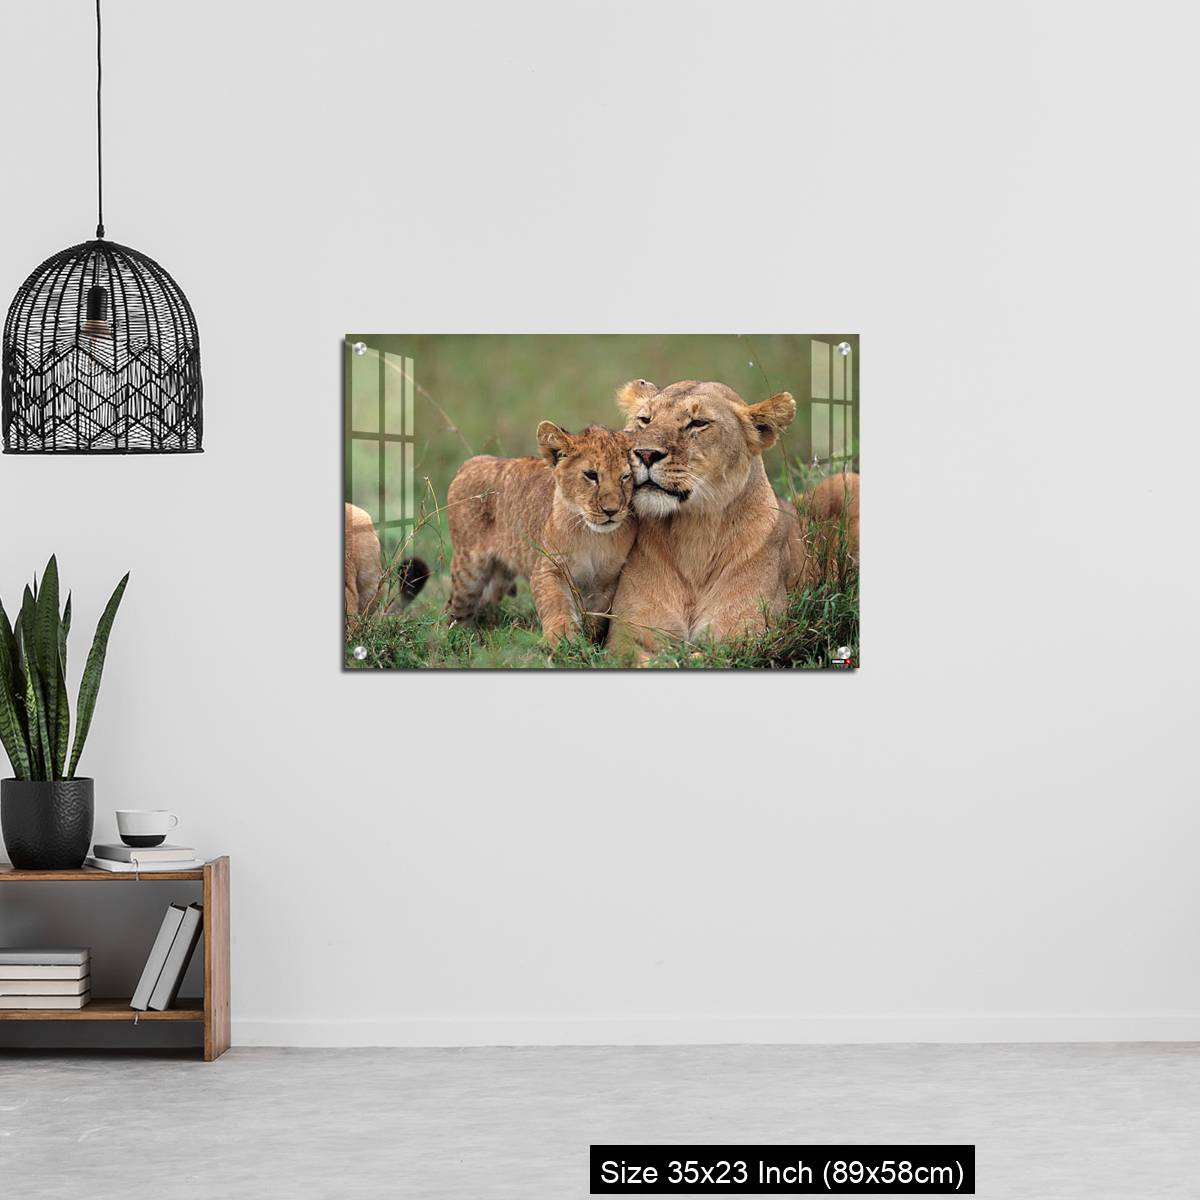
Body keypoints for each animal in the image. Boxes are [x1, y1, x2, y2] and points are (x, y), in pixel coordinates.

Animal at [446, 424, 637, 642]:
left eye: (625, 477)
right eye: (591, 475)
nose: (611, 511)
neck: (593, 536)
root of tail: (471, 462)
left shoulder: (607, 581)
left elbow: (595, 617)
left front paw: (587, 640)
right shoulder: (549, 567)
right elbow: (556, 603)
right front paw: (561, 637)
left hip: (500, 577)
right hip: (468, 571)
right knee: (455, 608)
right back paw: (455, 635)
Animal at [606, 379, 860, 658]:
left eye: (698, 423)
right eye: (645, 420)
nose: (646, 453)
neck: (694, 533)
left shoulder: (745, 636)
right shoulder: (627, 637)